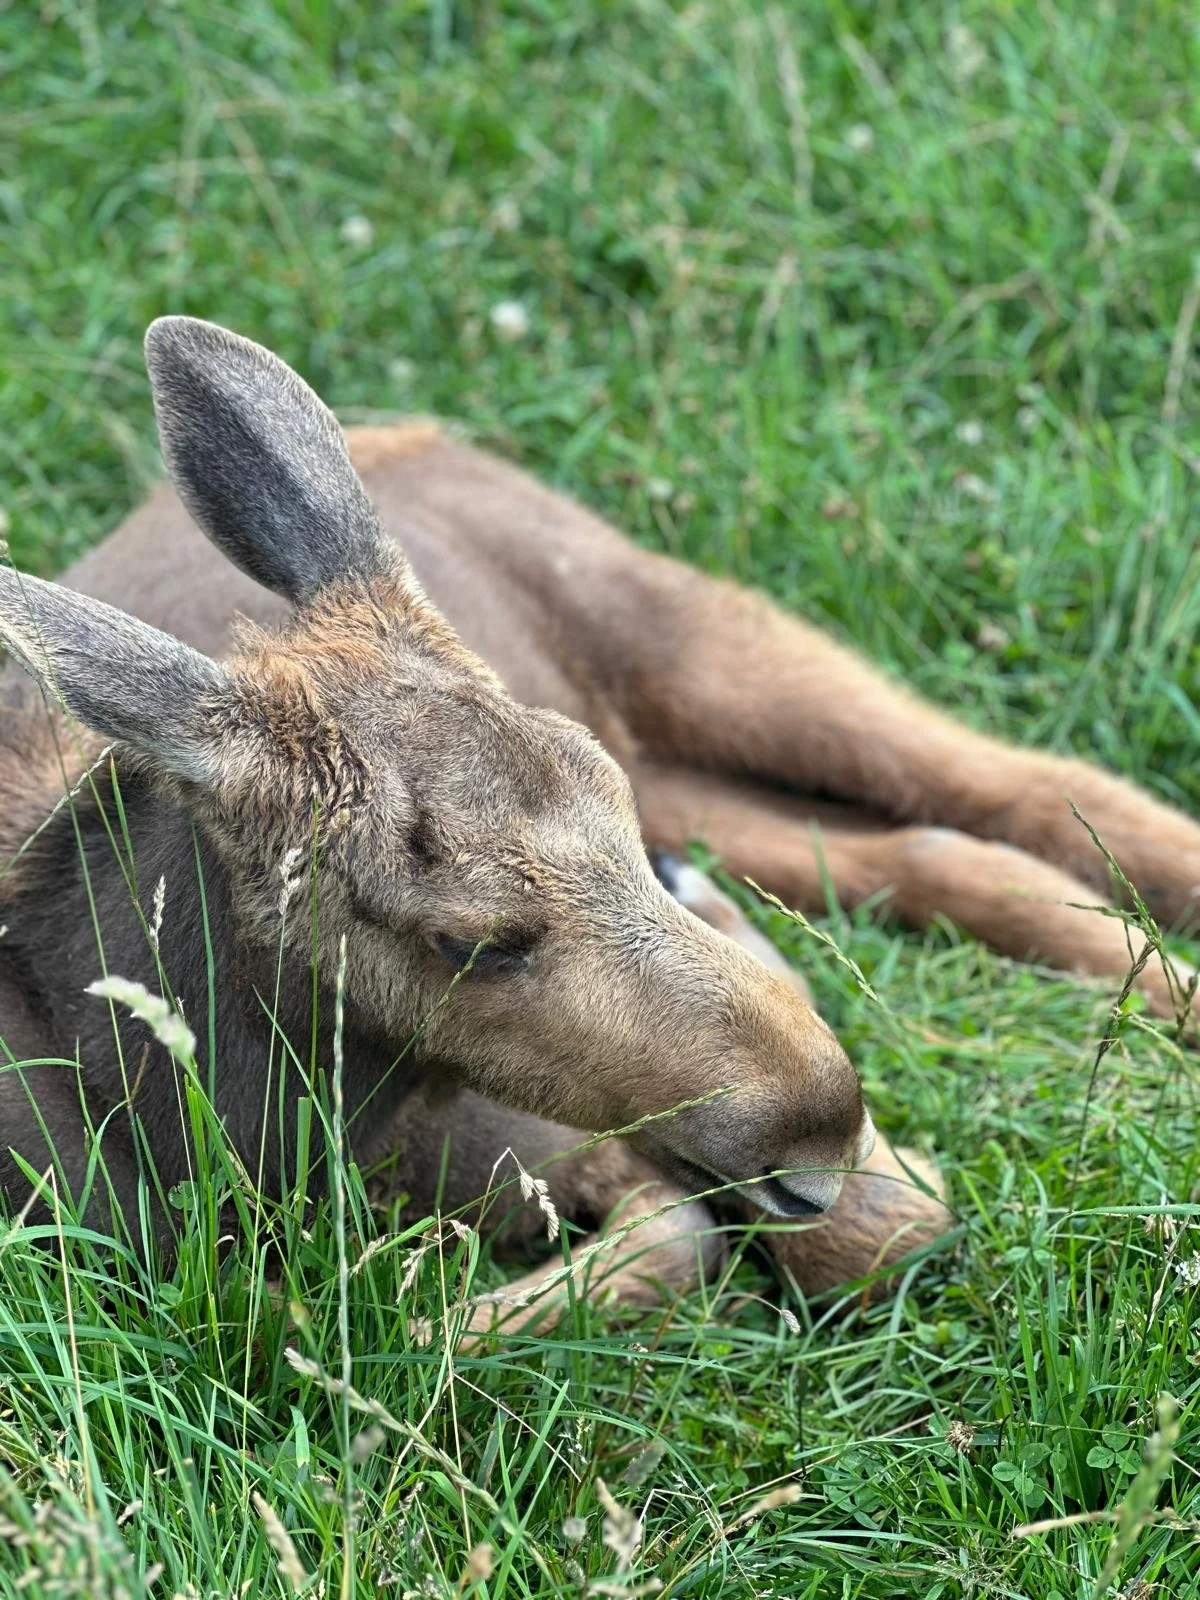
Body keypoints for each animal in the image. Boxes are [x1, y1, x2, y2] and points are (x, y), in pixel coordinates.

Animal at [3, 316, 1197, 1336]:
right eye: (470, 939)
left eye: (604, 804)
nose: (822, 1122)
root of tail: (409, 428)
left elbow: (840, 1230)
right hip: (688, 773)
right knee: (907, 845)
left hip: (675, 638)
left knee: (1022, 777)